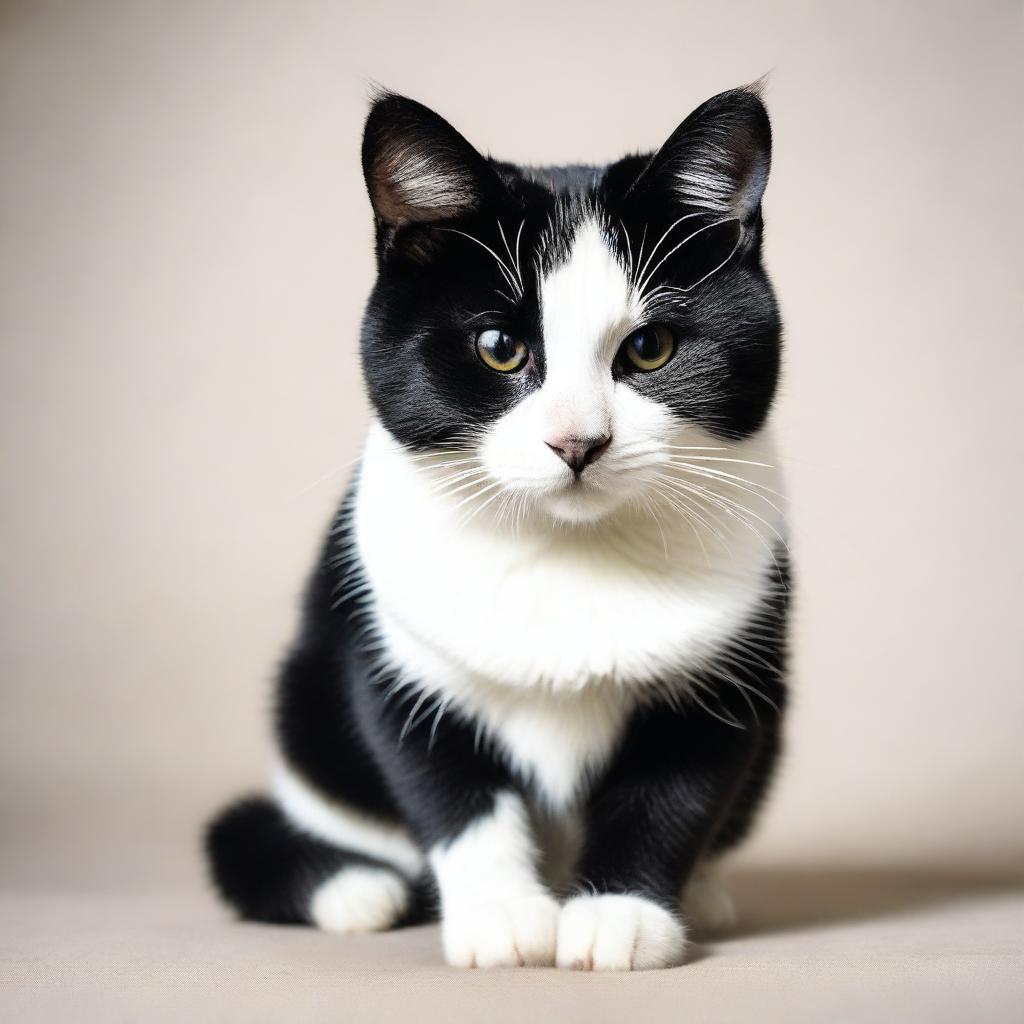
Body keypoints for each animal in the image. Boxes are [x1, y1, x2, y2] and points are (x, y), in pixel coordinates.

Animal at [203, 83, 786, 970]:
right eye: (500, 347)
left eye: (651, 348)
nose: (578, 441)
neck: (569, 553)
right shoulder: (399, 661)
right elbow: (452, 792)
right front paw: (504, 918)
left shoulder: (728, 673)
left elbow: (671, 794)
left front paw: (620, 916)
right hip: (307, 714)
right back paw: (357, 889)